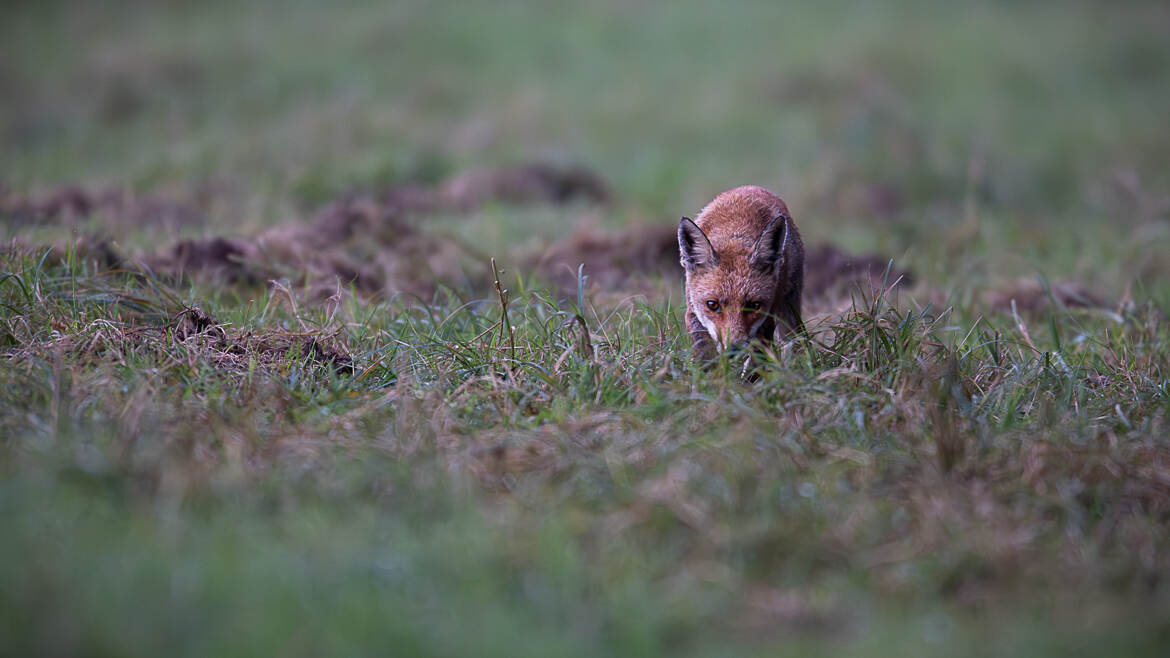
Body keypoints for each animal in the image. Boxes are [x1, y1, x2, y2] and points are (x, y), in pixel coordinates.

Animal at [678, 184, 804, 358]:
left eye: (754, 305)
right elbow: (704, 350)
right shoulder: (692, 309)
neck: (734, 233)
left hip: (789, 309)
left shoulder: (769, 315)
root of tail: (751, 187)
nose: (734, 350)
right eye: (712, 304)